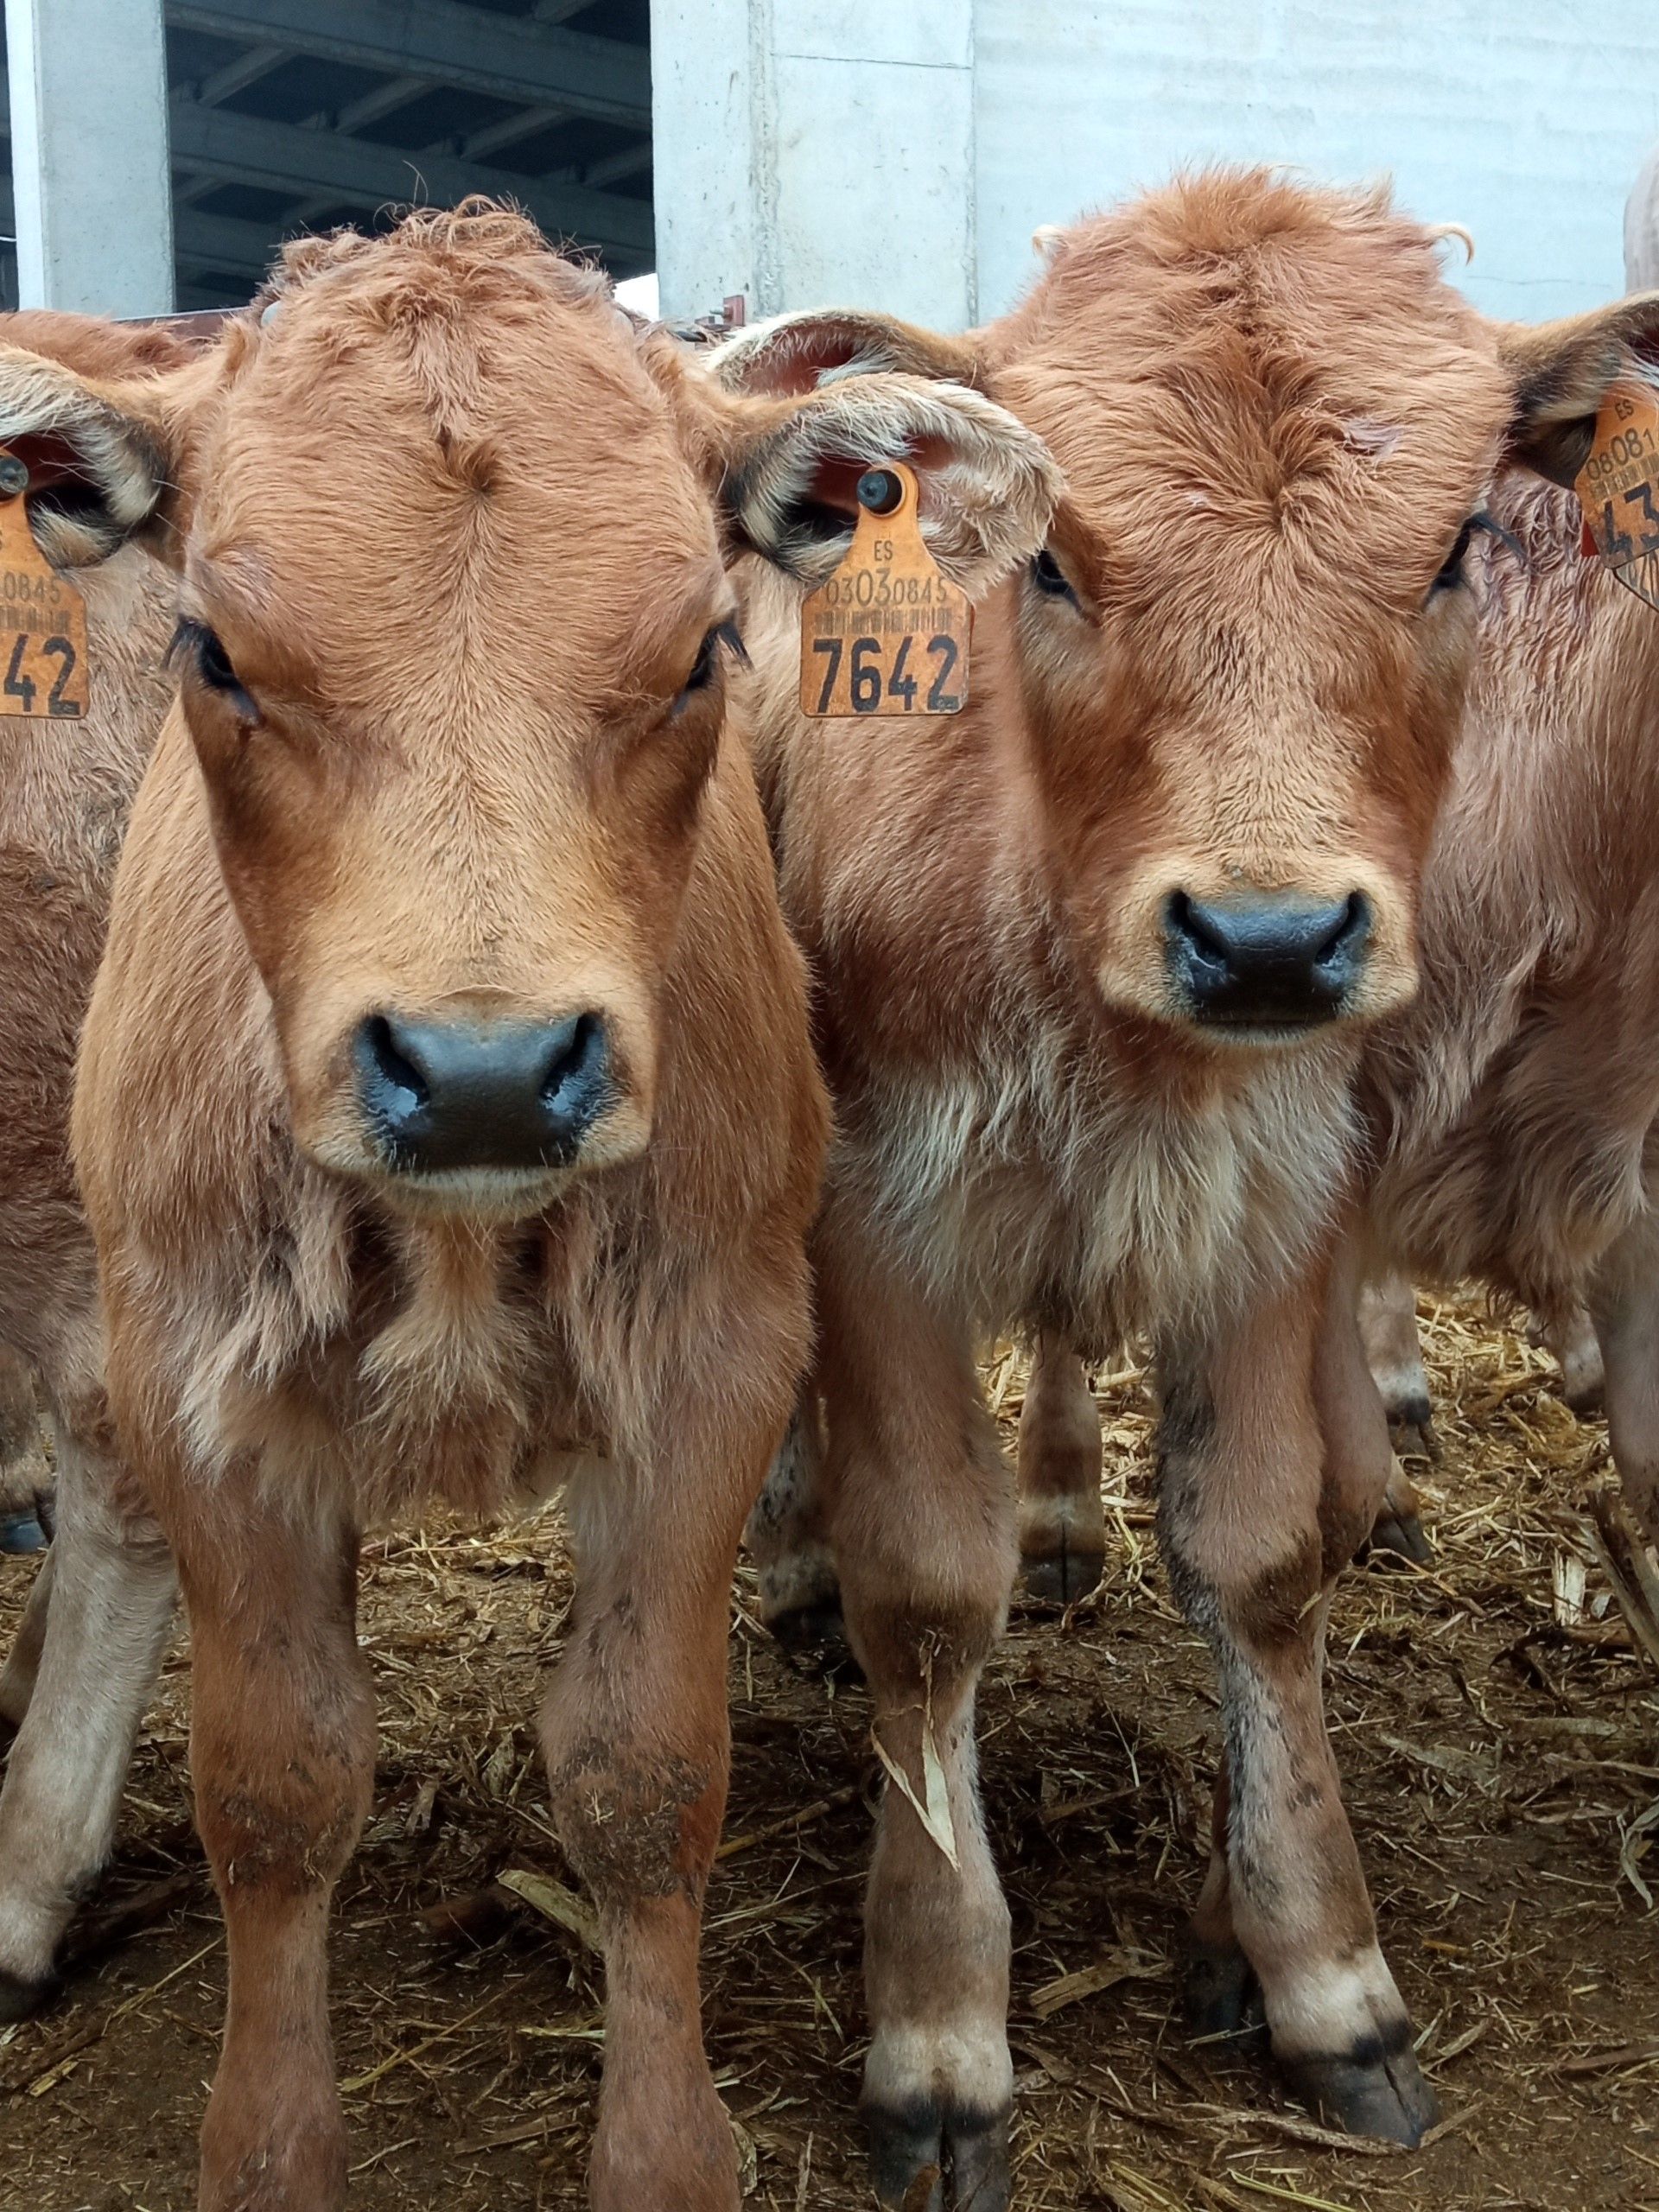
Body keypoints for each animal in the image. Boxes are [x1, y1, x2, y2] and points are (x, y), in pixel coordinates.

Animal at [0, 207, 1058, 2212]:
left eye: (701, 645)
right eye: (215, 650)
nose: (483, 1070)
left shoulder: (712, 1359)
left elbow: (643, 1777)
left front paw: (665, 2150)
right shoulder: (198, 1379)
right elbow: (276, 1783)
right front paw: (270, 2148)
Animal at [714, 169, 1659, 2204]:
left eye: (1456, 549)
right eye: (1057, 564)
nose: (1271, 940)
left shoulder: (1286, 1198)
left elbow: (1269, 1556)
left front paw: (1321, 1970)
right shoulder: (875, 1221)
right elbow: (929, 1585)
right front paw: (940, 2019)